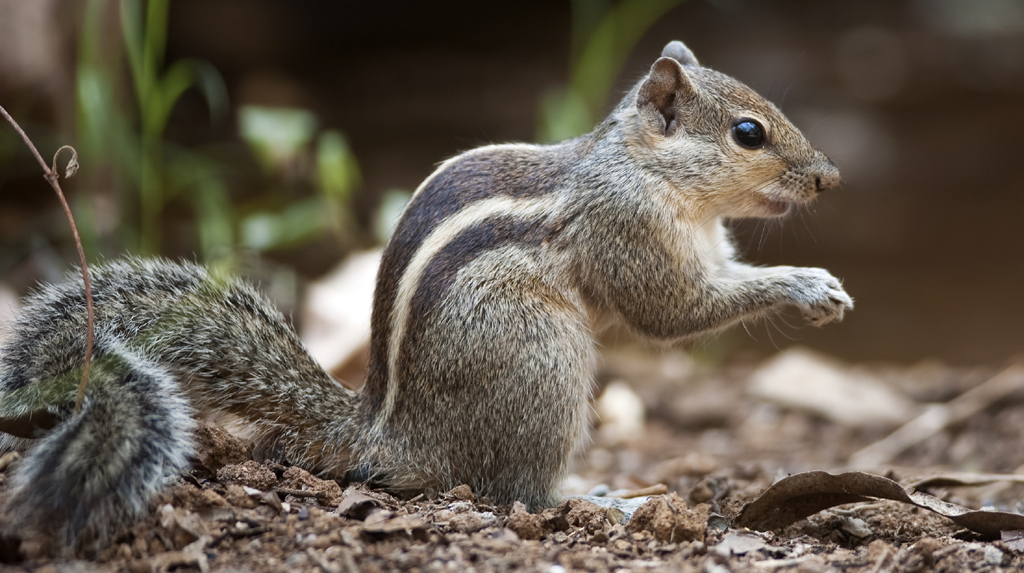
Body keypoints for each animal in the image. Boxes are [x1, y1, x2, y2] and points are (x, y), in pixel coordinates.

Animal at [0, 39, 847, 552]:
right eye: (748, 132)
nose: (830, 178)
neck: (645, 168)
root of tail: (384, 435)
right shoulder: (629, 230)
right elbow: (674, 312)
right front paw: (807, 283)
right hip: (544, 361)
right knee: (516, 492)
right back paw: (605, 500)